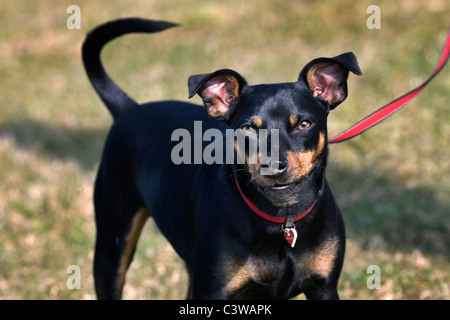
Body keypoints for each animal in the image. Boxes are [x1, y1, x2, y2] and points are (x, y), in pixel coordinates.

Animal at [81, 18, 362, 300]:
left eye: (304, 124)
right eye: (247, 129)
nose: (273, 166)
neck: (284, 220)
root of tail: (129, 109)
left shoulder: (323, 287)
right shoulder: (213, 290)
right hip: (111, 248)